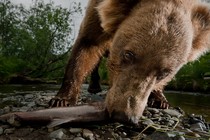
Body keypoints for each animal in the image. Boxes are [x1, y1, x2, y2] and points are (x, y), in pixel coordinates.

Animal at [49, 0, 210, 123]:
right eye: (128, 54)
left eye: (165, 72)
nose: (124, 115)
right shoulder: (96, 13)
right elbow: (87, 45)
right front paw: (62, 99)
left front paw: (160, 99)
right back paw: (94, 86)